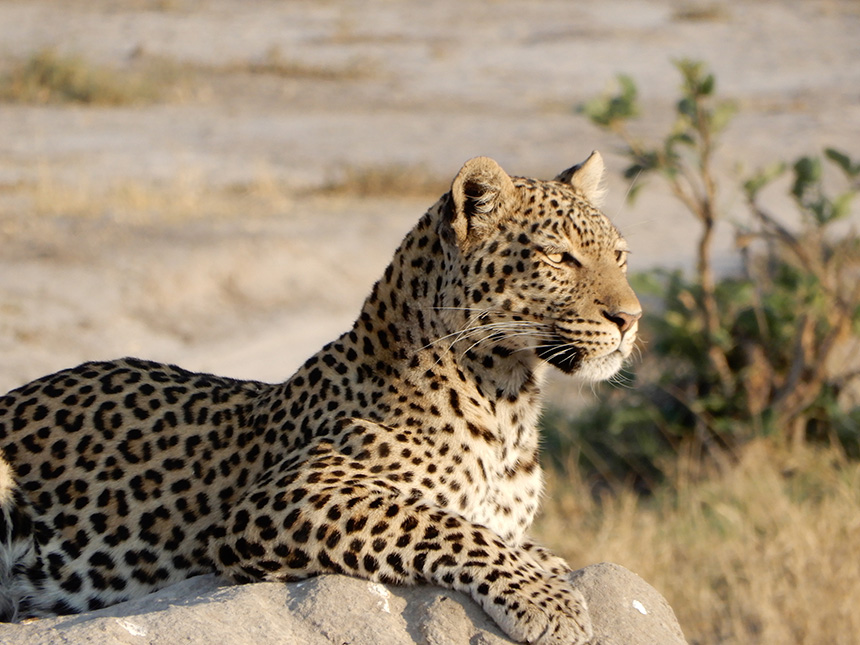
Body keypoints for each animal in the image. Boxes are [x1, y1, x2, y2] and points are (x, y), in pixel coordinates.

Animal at [0, 152, 640, 644]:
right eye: (559, 258)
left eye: (620, 256)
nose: (630, 319)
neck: (509, 402)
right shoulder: (287, 495)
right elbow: (446, 524)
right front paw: (549, 602)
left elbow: (509, 536)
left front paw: (550, 573)